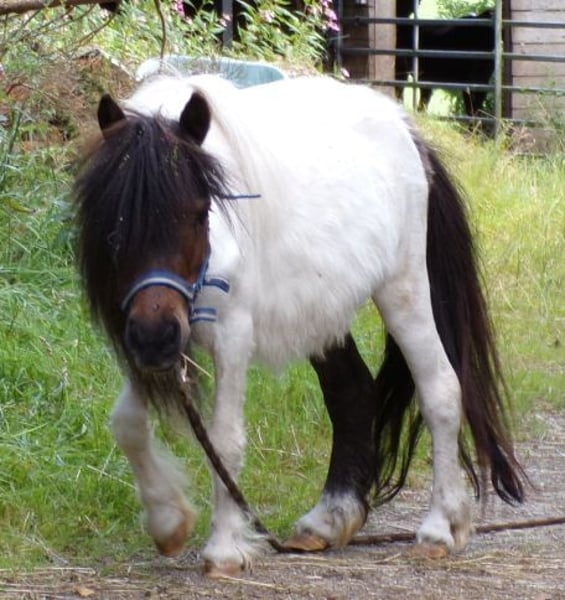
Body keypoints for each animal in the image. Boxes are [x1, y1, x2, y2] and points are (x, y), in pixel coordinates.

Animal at [74, 73, 526, 576]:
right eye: (113, 220)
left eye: (197, 212)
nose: (156, 336)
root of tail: (406, 129)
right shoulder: (144, 339)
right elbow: (128, 424)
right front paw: (168, 521)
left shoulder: (231, 335)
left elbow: (224, 441)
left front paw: (224, 548)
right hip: (322, 313)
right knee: (352, 392)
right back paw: (329, 519)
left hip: (403, 289)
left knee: (440, 388)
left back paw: (440, 527)